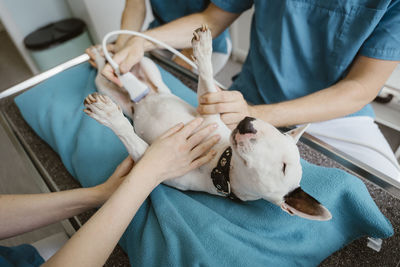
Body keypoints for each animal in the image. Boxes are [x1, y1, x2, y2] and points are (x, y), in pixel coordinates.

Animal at [83, 25, 332, 222]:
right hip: (145, 65)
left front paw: (108, 116)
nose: (247, 123)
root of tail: (140, 98)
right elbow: (207, 82)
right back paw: (102, 55)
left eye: (283, 168)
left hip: (121, 93)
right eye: (276, 132)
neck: (222, 160)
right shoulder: (207, 110)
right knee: (118, 65)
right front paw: (203, 49)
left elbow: (130, 137)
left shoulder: (154, 163)